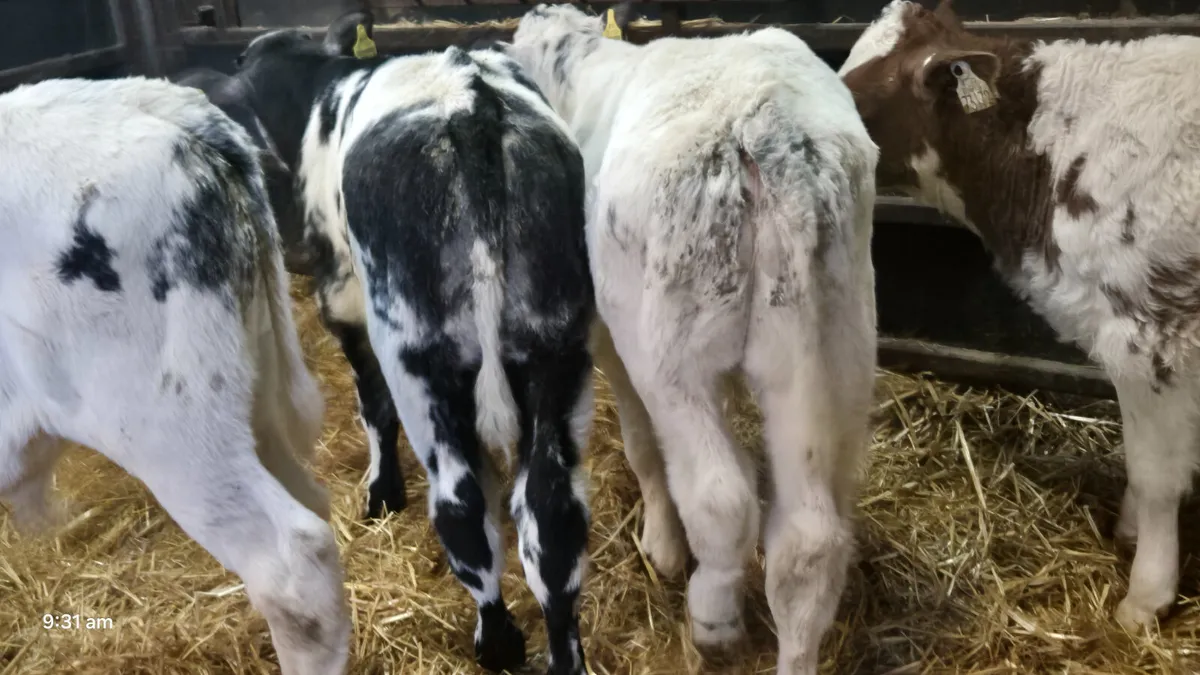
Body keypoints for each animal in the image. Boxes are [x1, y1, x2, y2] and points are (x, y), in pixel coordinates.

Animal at [233, 11, 596, 675]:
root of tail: (473, 107)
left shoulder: (342, 295)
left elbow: (371, 406)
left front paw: (381, 492)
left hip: (420, 357)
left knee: (461, 507)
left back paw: (496, 641)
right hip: (559, 347)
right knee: (552, 518)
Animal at [506, 4, 880, 674]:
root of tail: (760, 128)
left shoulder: (608, 336)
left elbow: (640, 444)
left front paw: (661, 542)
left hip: (671, 353)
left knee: (721, 499)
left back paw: (712, 616)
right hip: (829, 348)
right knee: (809, 539)